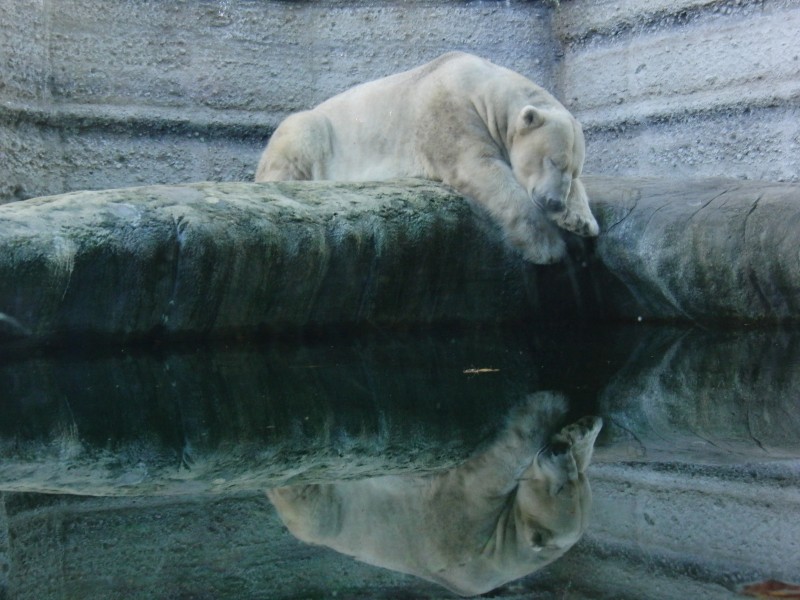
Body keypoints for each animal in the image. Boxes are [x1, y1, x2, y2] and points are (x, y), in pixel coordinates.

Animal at [256, 52, 600, 264]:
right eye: (551, 161)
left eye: (574, 171)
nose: (555, 202)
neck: (481, 87)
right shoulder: (450, 113)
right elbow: (480, 168)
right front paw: (548, 247)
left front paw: (581, 220)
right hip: (318, 129)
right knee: (300, 132)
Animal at [266, 394, 604, 596]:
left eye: (561, 487)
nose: (557, 452)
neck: (510, 545)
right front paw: (582, 431)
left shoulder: (469, 519)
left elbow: (493, 466)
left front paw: (543, 407)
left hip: (327, 516)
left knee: (312, 503)